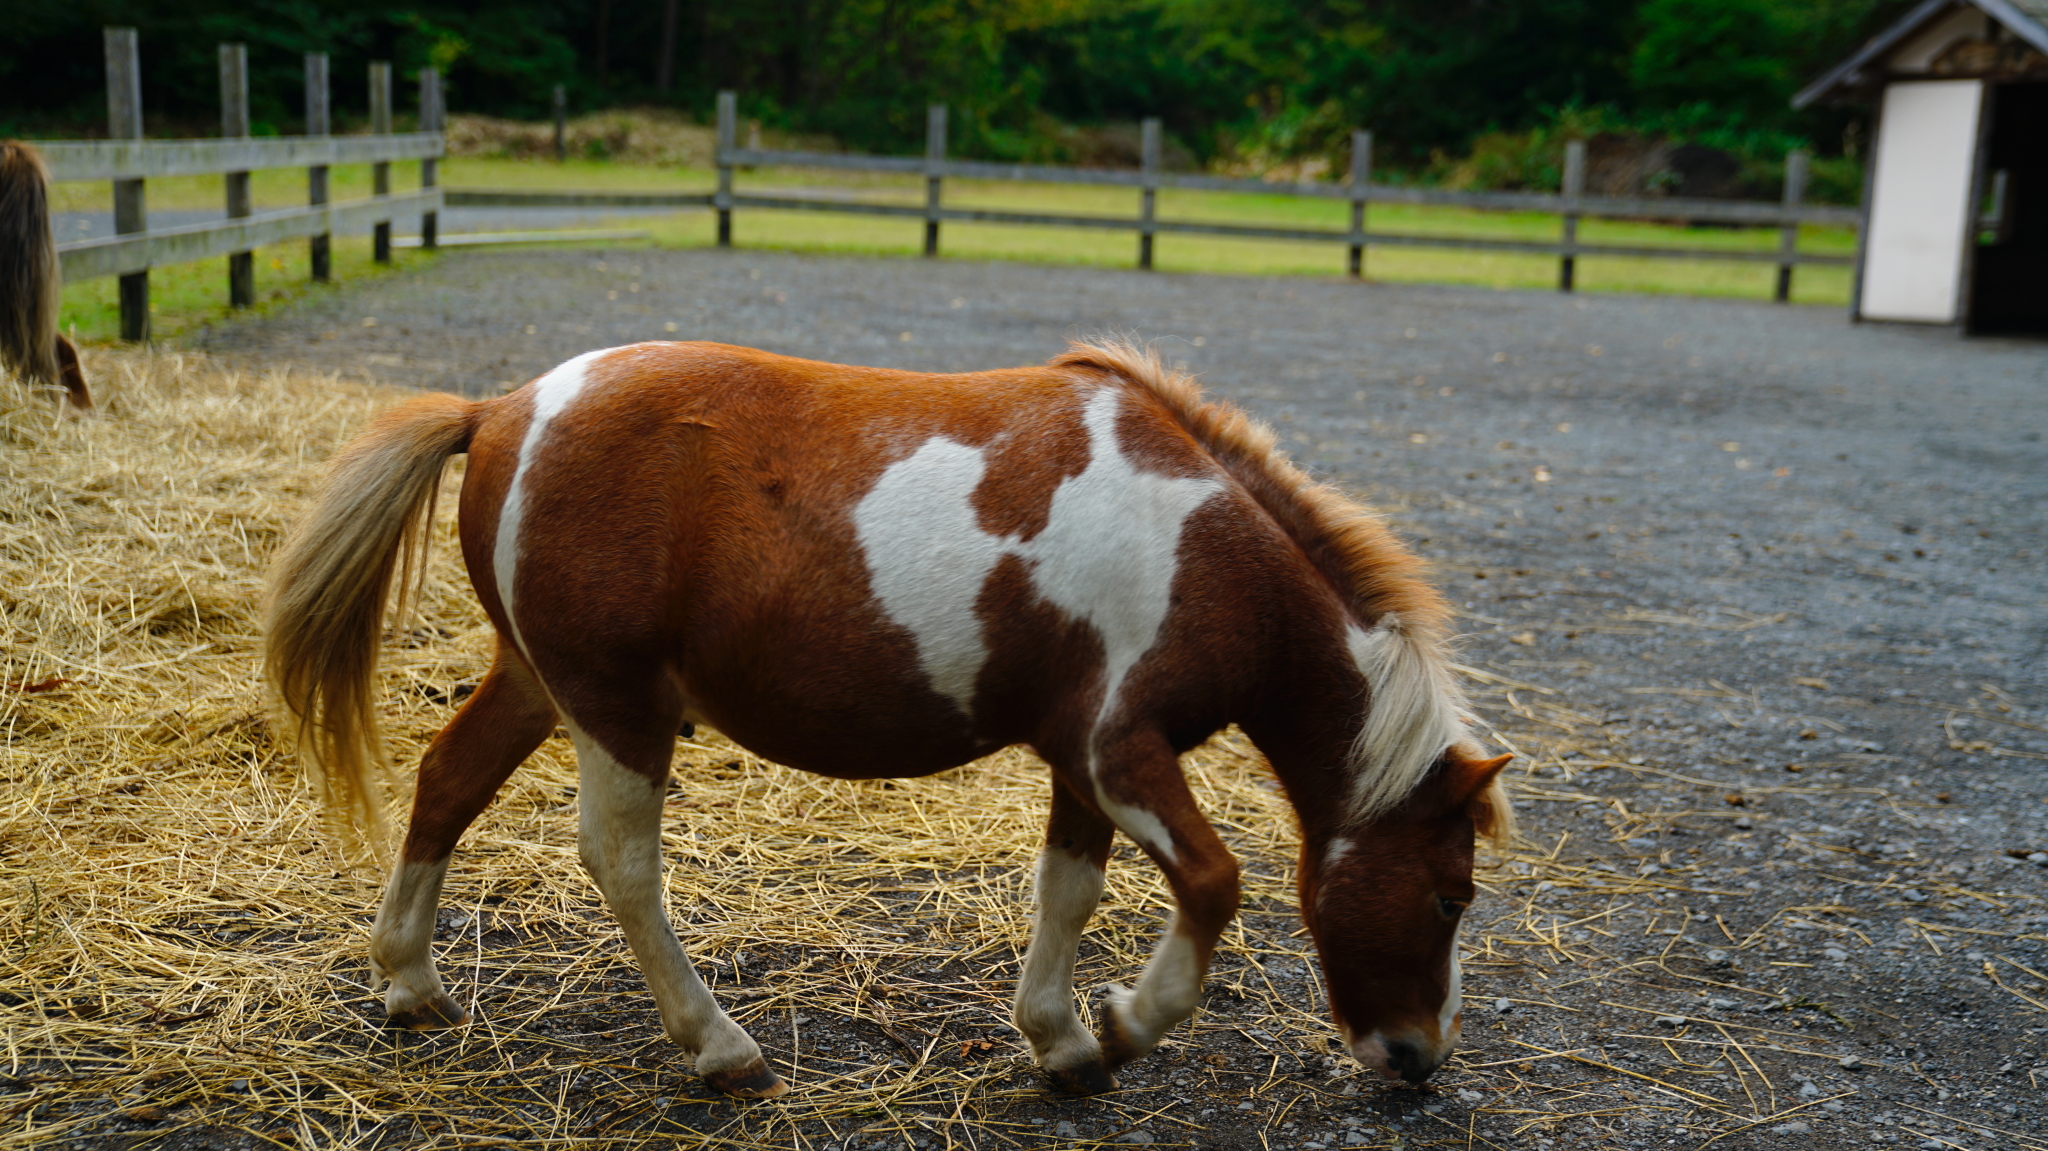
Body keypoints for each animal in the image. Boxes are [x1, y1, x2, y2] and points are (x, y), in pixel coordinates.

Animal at [264, 337, 1515, 1089]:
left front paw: (1061, 1037)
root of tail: (502, 411)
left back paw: (409, 979)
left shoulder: (1078, 761)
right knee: (619, 863)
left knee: (446, 780)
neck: (1205, 548)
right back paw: (719, 1045)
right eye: (1449, 893)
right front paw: (1126, 1019)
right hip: (615, 704)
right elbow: (1212, 881)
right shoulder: (1119, 747)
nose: (1416, 1057)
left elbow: (1068, 889)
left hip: (537, 679)